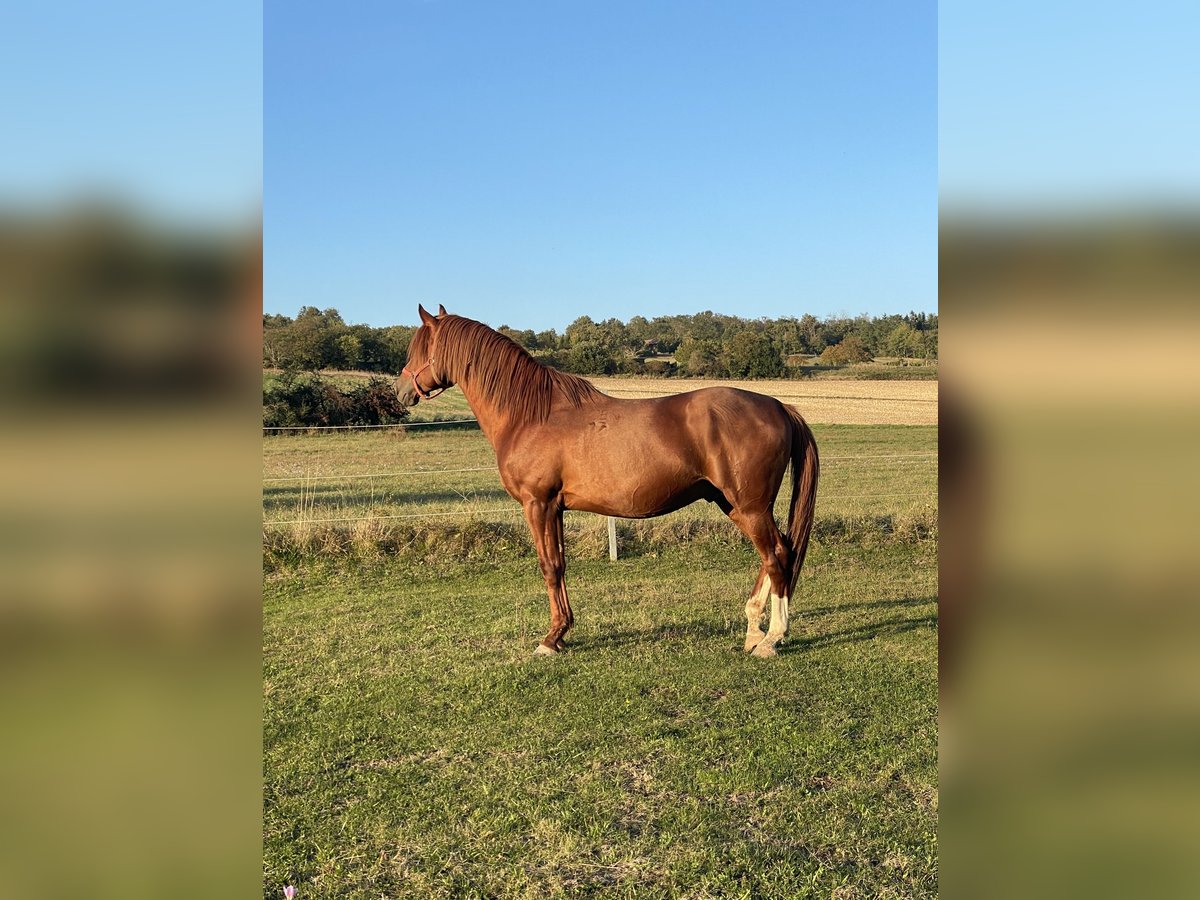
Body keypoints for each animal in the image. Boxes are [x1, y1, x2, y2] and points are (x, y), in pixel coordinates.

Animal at [398, 307, 820, 657]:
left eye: (418, 349)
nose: (400, 392)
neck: (531, 414)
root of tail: (779, 406)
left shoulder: (538, 504)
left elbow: (549, 567)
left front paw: (550, 639)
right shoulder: (555, 508)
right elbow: (560, 564)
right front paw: (562, 633)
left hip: (751, 506)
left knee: (778, 556)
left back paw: (771, 639)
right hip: (734, 504)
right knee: (775, 554)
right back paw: (752, 630)